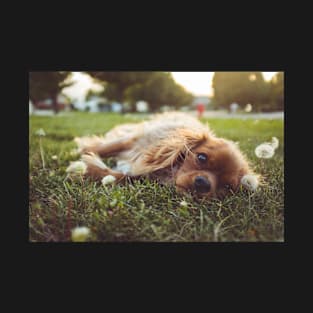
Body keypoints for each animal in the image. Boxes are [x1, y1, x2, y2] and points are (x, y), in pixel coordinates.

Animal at [72, 112, 258, 199]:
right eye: (201, 157)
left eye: (226, 187)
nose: (204, 184)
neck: (169, 170)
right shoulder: (133, 141)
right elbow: (104, 147)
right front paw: (83, 155)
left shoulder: (141, 176)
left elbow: (122, 177)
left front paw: (90, 169)